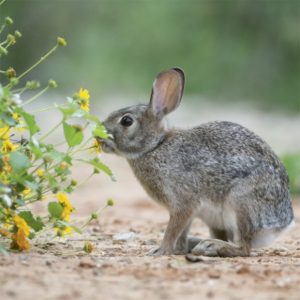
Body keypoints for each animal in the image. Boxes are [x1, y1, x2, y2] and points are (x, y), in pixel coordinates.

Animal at [99, 68, 294, 258]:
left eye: (126, 121)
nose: (99, 136)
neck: (155, 146)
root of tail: (282, 223)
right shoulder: (184, 210)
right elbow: (181, 232)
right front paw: (176, 249)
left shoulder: (183, 201)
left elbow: (173, 229)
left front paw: (160, 250)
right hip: (217, 220)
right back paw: (201, 244)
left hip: (241, 204)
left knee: (243, 248)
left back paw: (212, 246)